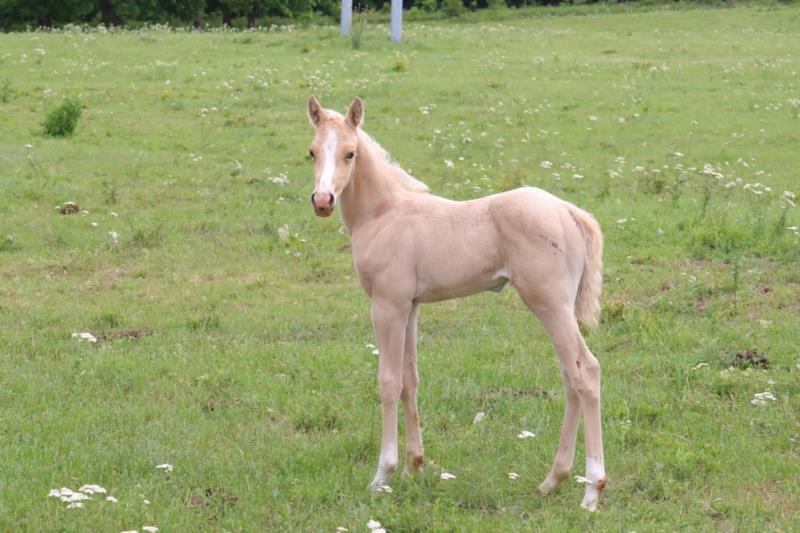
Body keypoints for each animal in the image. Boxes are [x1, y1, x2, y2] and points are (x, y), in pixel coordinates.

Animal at [305, 96, 607, 511]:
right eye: (312, 152)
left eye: (350, 153)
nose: (322, 201)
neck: (384, 213)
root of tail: (567, 211)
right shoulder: (410, 307)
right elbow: (410, 380)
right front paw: (415, 466)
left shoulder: (387, 307)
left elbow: (388, 382)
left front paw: (383, 474)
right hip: (554, 310)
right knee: (570, 375)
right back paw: (552, 481)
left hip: (550, 305)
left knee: (586, 372)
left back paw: (592, 491)